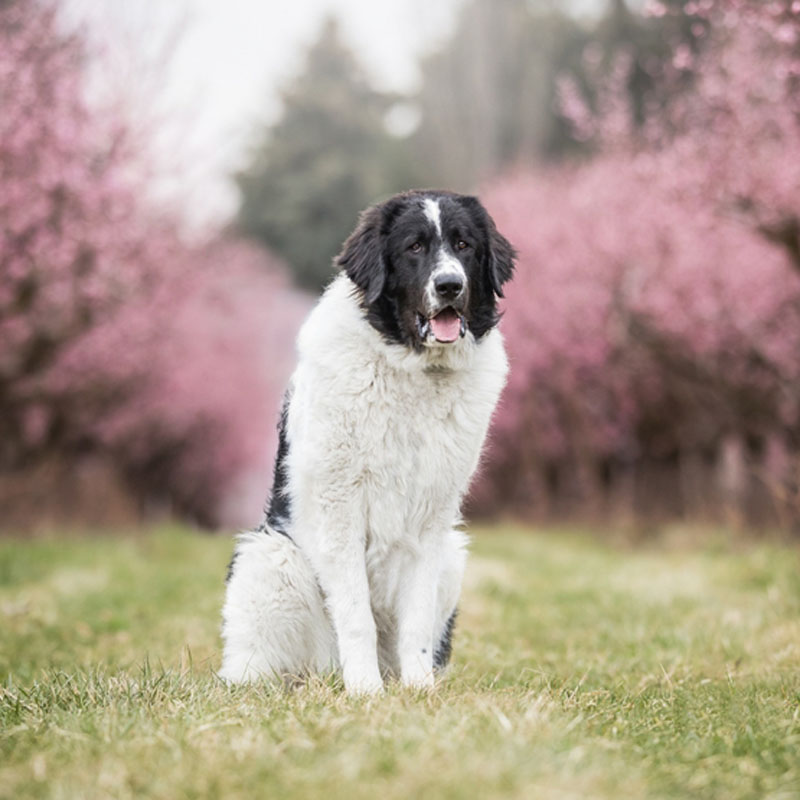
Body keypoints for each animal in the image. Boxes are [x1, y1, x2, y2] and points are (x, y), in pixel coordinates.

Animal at [222, 189, 516, 692]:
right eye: (414, 247)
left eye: (464, 245)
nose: (449, 286)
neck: (413, 372)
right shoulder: (339, 507)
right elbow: (357, 615)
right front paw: (365, 692)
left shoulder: (431, 521)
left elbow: (416, 619)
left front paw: (419, 689)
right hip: (268, 557)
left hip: (453, 555)